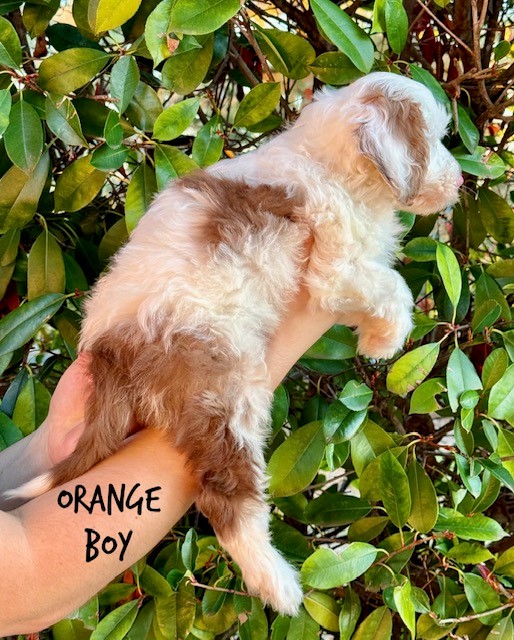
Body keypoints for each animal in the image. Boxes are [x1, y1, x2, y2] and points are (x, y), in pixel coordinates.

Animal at [11, 72, 462, 614]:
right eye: (435, 139)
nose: (462, 181)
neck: (332, 163)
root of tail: (108, 352)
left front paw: (376, 337)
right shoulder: (336, 266)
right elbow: (391, 287)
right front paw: (384, 340)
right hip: (226, 386)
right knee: (227, 499)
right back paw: (278, 584)